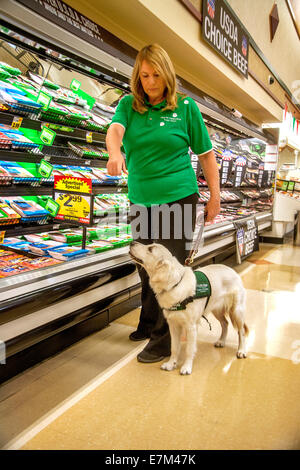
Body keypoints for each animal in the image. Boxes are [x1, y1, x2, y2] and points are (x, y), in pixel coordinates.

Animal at [129, 242, 248, 374]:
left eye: (150, 249)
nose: (132, 242)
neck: (175, 285)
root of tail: (232, 270)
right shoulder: (173, 325)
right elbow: (174, 348)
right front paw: (171, 363)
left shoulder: (191, 327)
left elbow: (189, 350)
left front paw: (186, 367)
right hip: (216, 310)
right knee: (225, 323)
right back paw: (221, 341)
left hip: (237, 311)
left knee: (241, 331)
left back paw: (241, 350)